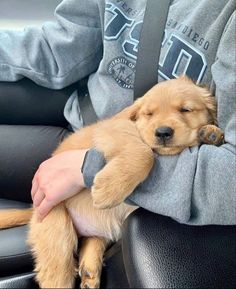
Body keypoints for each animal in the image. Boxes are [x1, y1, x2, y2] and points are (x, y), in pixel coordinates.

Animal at [0, 75, 223, 286]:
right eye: (149, 114)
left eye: (186, 109)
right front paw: (108, 190)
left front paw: (212, 133)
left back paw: (89, 269)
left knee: (92, 239)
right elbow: (144, 152)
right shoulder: (114, 129)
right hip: (57, 231)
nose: (163, 132)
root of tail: (33, 211)